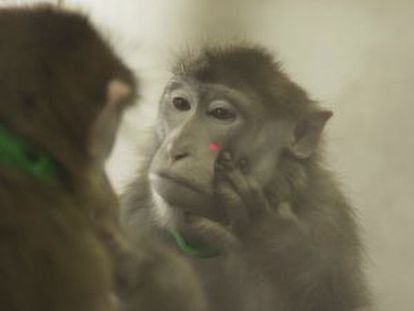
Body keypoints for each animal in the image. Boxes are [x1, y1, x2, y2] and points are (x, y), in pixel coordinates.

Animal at [121, 44, 370, 311]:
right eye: (180, 103)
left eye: (220, 113)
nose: (174, 148)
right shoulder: (134, 214)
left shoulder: (328, 221)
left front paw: (268, 239)